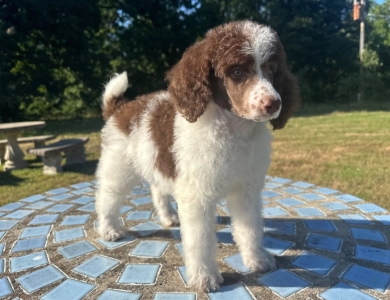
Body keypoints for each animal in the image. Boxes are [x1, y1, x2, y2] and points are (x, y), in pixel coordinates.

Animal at [96, 19, 300, 292]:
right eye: (237, 72)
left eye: (272, 70)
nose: (274, 103)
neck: (233, 129)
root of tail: (121, 107)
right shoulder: (197, 196)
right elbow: (200, 240)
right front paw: (205, 277)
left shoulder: (246, 190)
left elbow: (250, 228)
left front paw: (257, 258)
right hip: (120, 166)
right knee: (107, 196)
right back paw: (109, 229)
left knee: (157, 188)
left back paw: (168, 216)